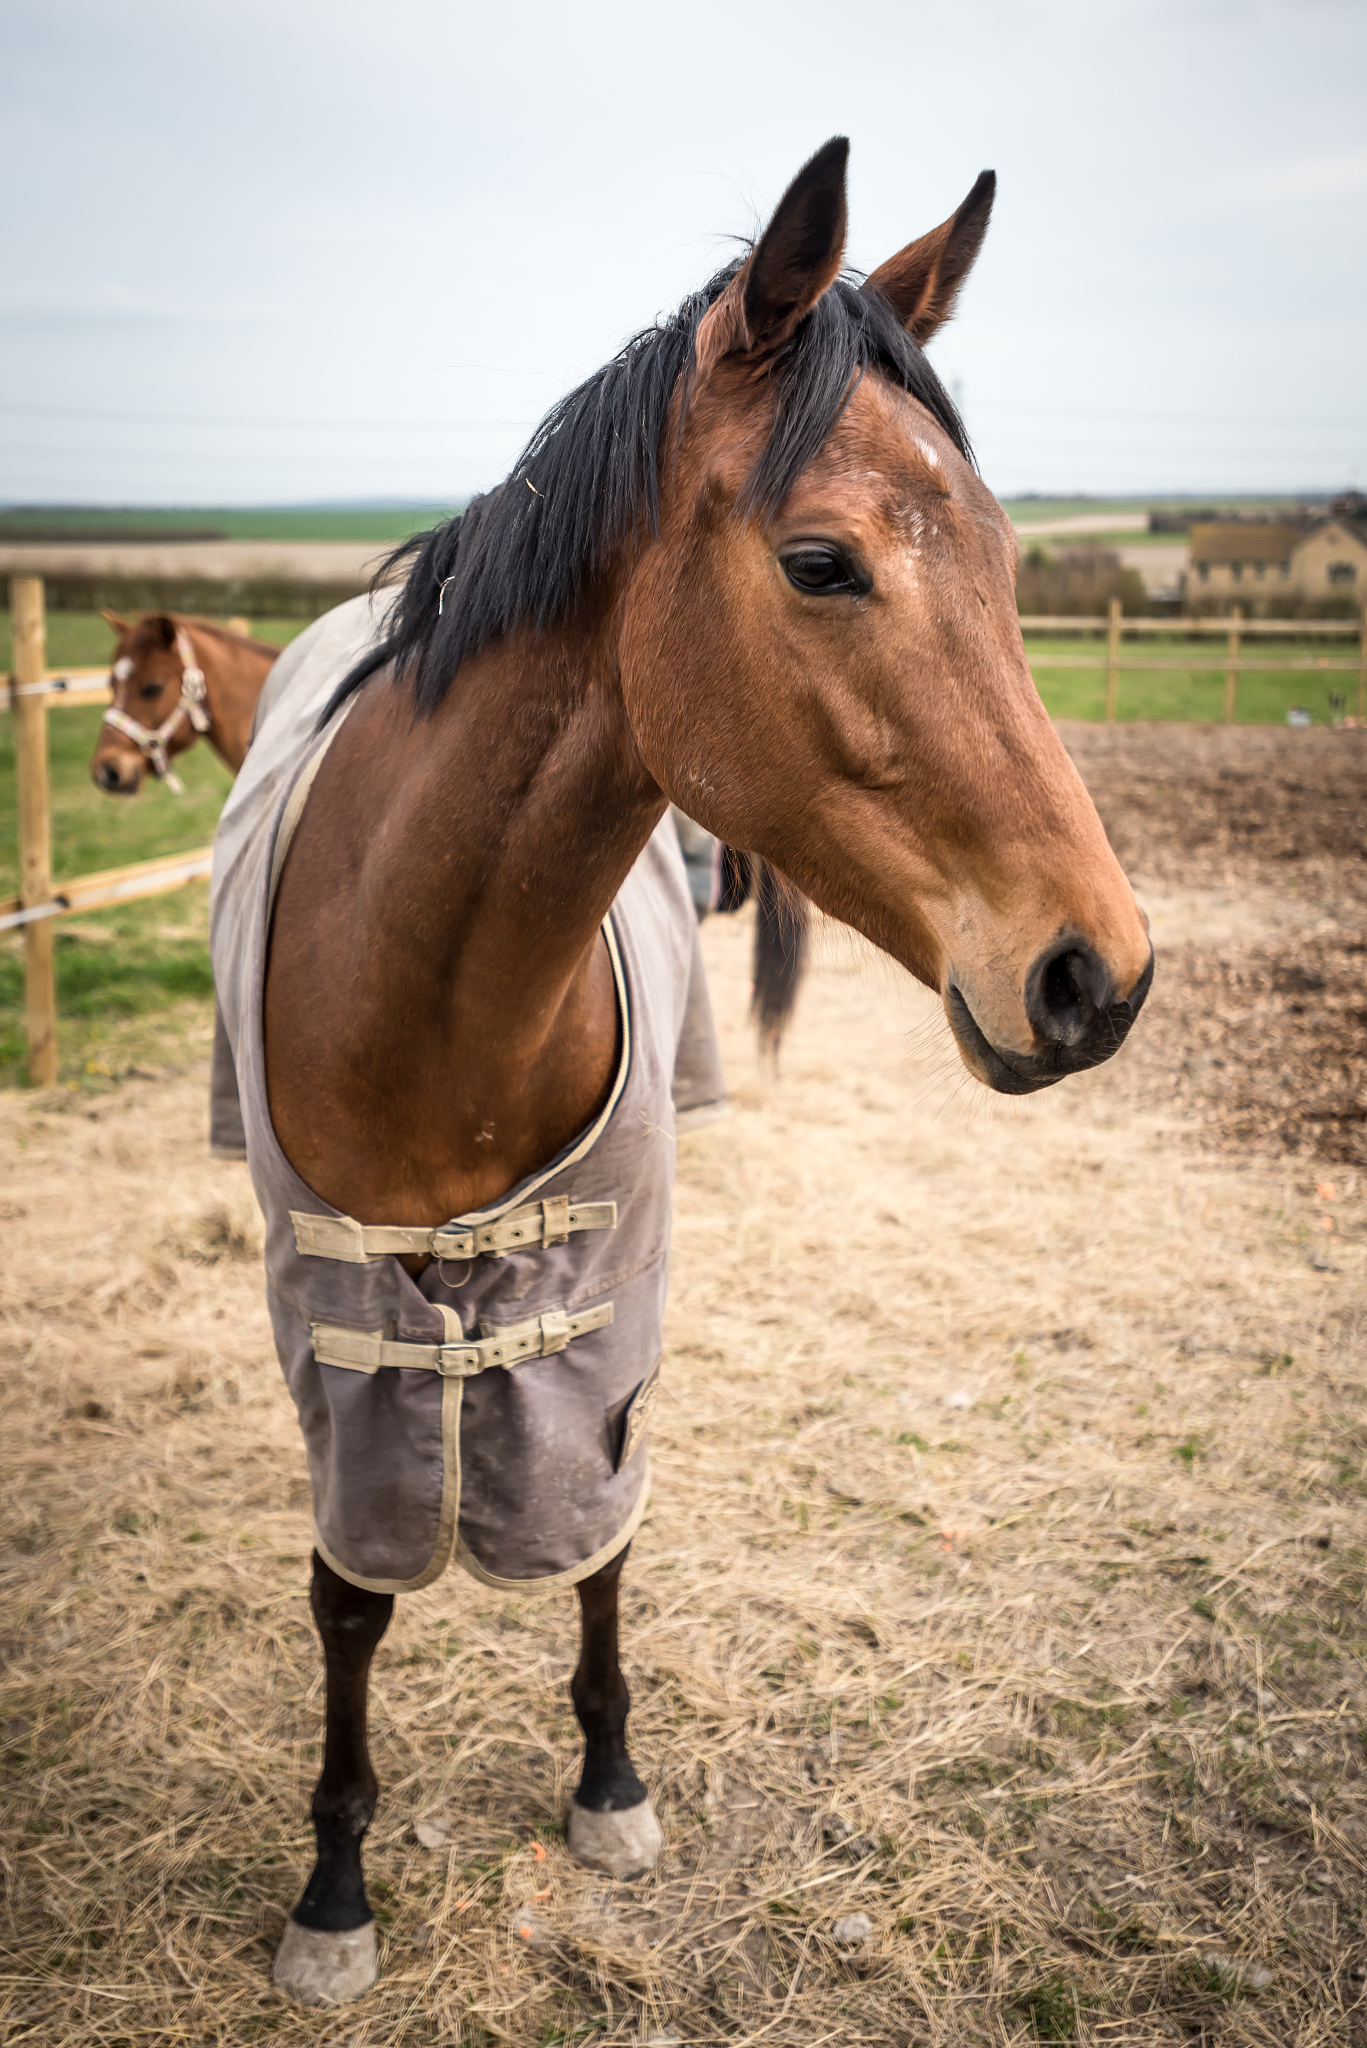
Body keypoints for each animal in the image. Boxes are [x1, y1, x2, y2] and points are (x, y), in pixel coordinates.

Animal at [208, 137, 1152, 2007]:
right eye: (821, 562)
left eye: (1008, 555)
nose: (1097, 973)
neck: (429, 1000)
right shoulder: (331, 1327)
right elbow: (349, 1597)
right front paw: (333, 1882)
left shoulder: (602, 1300)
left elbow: (601, 1532)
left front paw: (610, 1782)